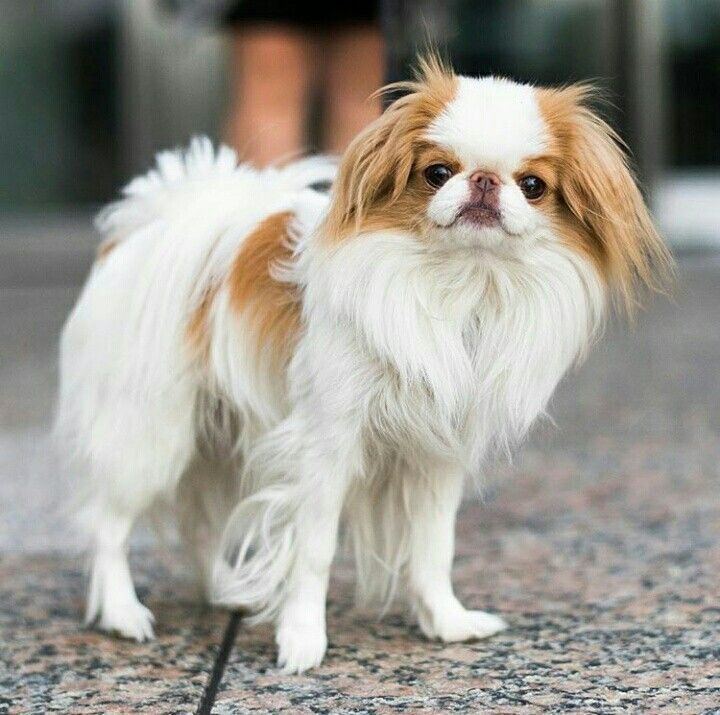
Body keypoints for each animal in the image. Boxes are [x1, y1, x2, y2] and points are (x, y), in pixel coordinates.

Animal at [54, 57, 668, 676]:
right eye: (438, 173)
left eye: (534, 186)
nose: (484, 182)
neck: (461, 286)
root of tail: (156, 221)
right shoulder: (328, 443)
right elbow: (315, 550)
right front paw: (302, 639)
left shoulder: (437, 458)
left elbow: (433, 548)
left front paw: (446, 622)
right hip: (153, 434)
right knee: (108, 525)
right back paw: (123, 614)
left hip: (218, 439)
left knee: (200, 524)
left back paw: (225, 591)